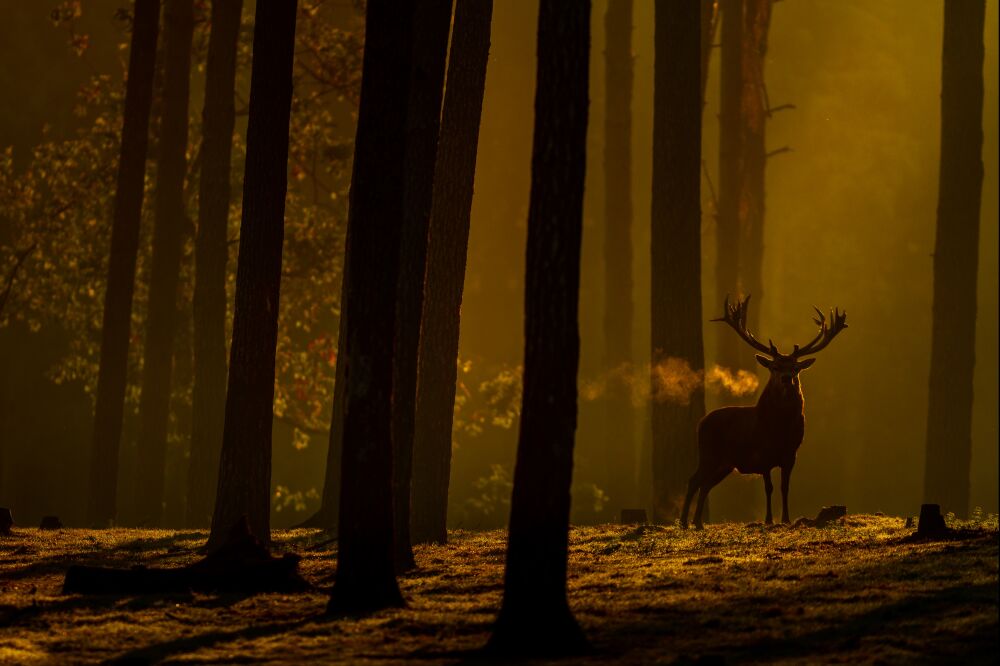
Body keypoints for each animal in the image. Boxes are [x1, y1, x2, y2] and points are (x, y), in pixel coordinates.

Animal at [676, 296, 848, 528]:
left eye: (795, 367)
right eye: (775, 366)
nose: (786, 378)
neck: (780, 430)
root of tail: (701, 422)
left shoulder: (791, 454)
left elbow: (785, 487)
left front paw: (786, 519)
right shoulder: (763, 453)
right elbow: (769, 487)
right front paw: (767, 519)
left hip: (725, 463)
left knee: (706, 484)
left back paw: (698, 523)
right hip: (708, 452)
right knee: (694, 480)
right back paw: (684, 521)